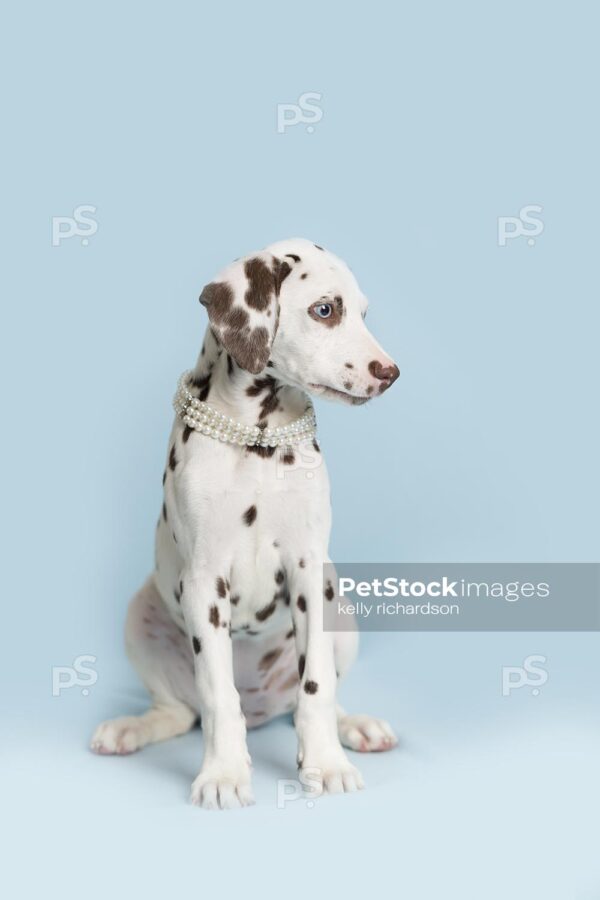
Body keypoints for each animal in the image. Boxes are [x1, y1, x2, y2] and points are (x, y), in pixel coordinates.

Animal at [92, 237, 398, 808]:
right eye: (326, 310)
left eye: (364, 313)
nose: (389, 372)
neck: (257, 437)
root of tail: (264, 710)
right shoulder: (203, 581)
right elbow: (218, 698)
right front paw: (224, 774)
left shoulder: (309, 572)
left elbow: (316, 688)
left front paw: (325, 764)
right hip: (140, 617)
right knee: (178, 712)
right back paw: (130, 728)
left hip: (341, 609)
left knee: (316, 698)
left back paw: (355, 726)